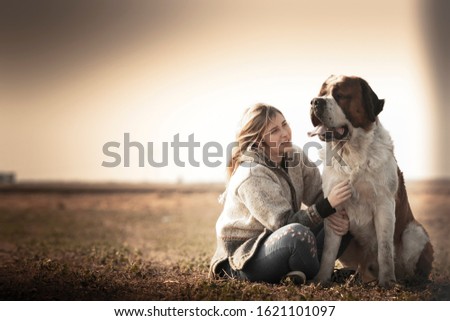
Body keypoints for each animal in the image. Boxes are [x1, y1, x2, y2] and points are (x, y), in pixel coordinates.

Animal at [310, 75, 432, 288]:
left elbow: (385, 247)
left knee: (409, 264)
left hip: (414, 232)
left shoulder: (384, 204)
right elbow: (328, 251)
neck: (352, 152)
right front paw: (321, 279)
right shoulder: (335, 207)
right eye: (322, 93)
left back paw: (407, 280)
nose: (315, 102)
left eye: (340, 95)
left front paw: (388, 282)